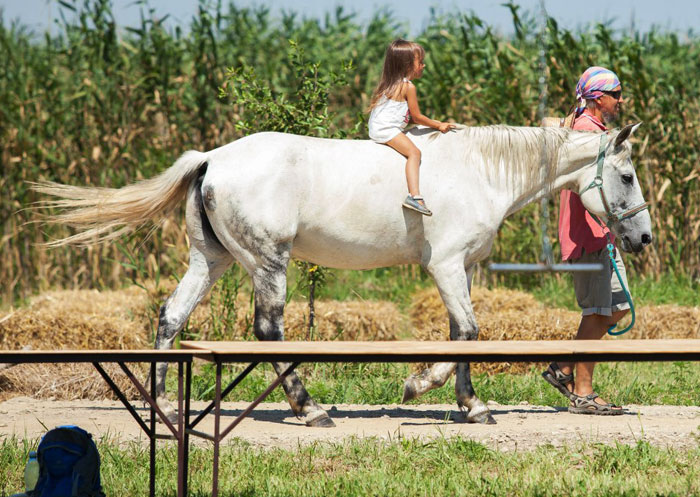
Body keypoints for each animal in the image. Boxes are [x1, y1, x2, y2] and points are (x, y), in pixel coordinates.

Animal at [37, 122, 652, 424]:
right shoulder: (446, 266)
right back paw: (308, 410)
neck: (480, 171)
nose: (642, 239)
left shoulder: (465, 270)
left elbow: (461, 334)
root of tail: (211, 158)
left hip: (211, 260)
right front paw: (424, 386)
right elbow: (469, 332)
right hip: (268, 264)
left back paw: (164, 407)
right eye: (625, 176)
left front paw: (469, 405)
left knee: (170, 317)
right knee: (268, 332)